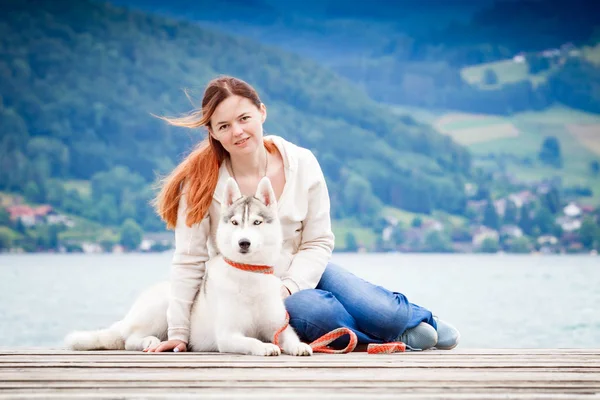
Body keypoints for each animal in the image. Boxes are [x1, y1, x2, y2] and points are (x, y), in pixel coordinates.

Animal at [67, 178, 314, 356]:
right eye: (235, 222)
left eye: (257, 222)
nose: (244, 242)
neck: (248, 273)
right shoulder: (228, 335)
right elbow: (251, 341)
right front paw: (264, 346)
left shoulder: (277, 326)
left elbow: (290, 337)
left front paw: (299, 346)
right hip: (163, 304)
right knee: (130, 340)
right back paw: (149, 340)